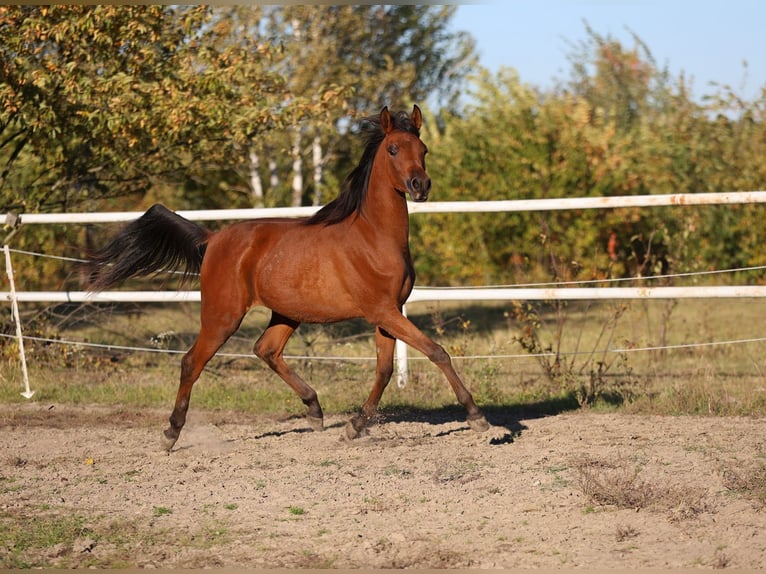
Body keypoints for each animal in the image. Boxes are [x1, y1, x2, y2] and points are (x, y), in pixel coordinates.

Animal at [85, 106, 492, 452]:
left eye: (423, 149)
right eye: (393, 149)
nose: (420, 185)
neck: (374, 237)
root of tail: (213, 239)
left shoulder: (388, 314)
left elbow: (385, 370)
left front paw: (353, 427)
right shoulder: (382, 312)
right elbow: (437, 351)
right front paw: (477, 418)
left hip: (286, 313)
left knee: (265, 349)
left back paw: (314, 411)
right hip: (223, 315)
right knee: (191, 362)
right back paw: (170, 433)